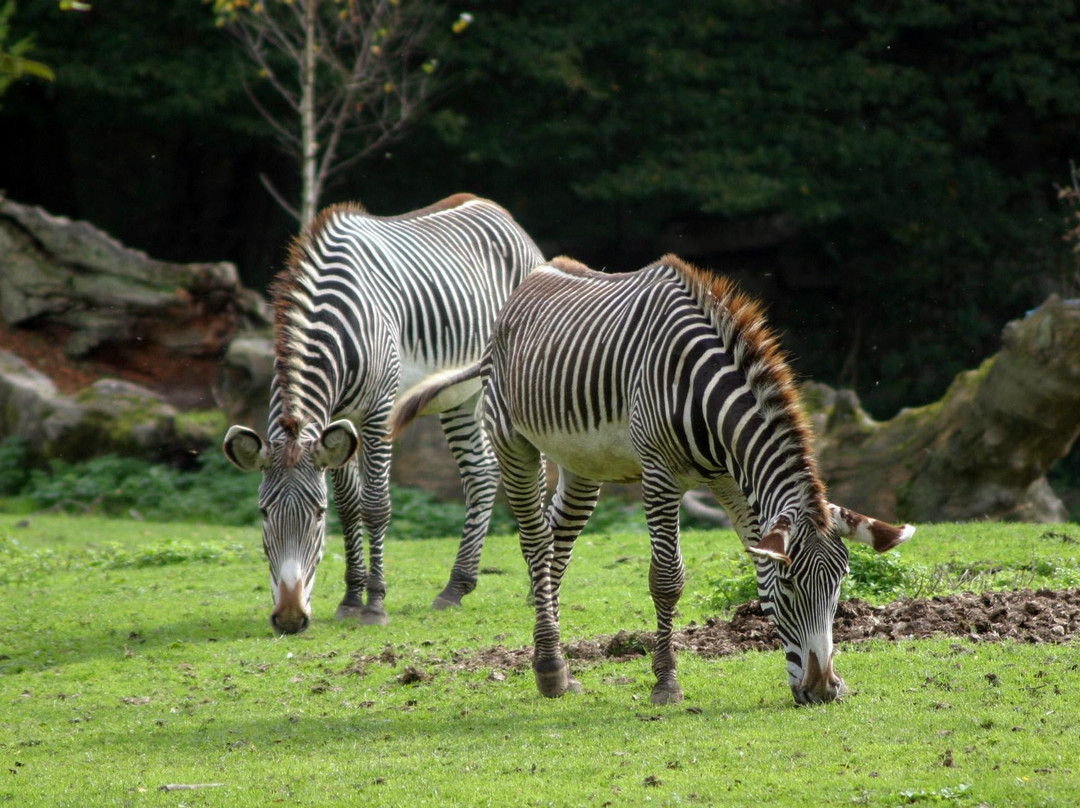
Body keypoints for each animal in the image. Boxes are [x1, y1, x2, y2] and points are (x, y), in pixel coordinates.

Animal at [221, 192, 540, 635]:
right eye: (263, 513)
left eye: (317, 515)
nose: (289, 619)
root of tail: (496, 209)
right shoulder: (337, 423)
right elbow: (351, 506)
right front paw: (351, 598)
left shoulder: (378, 414)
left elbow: (375, 505)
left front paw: (374, 604)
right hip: (459, 395)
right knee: (483, 473)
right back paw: (456, 587)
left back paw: (534, 583)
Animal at [388, 256, 911, 704]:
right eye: (788, 590)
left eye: (840, 585)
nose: (824, 691)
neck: (704, 394)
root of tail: (532, 277)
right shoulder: (660, 474)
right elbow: (666, 579)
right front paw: (666, 683)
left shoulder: (732, 481)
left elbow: (753, 561)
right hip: (511, 438)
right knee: (535, 543)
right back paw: (550, 670)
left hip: (582, 463)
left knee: (557, 544)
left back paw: (554, 665)